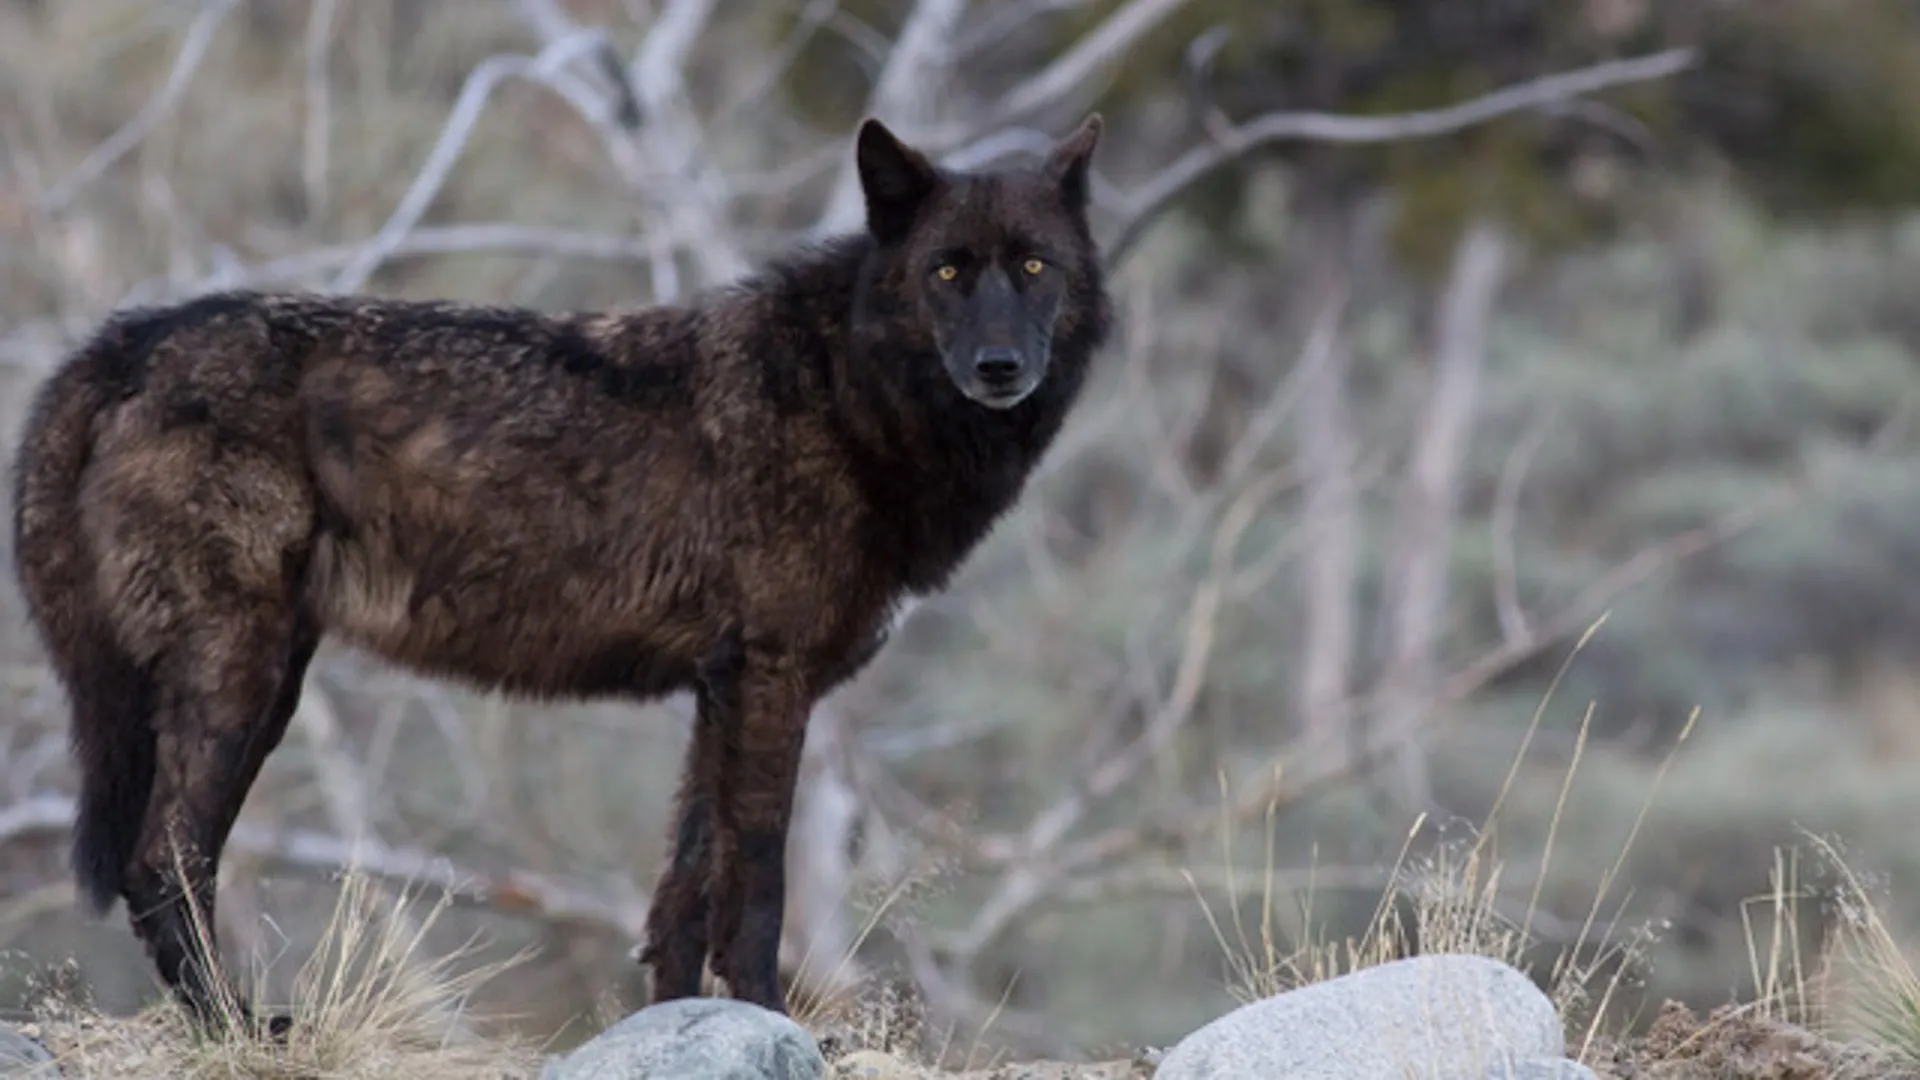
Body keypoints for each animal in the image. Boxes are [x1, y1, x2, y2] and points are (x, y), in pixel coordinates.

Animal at [9, 113, 1110, 1032]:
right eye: (948, 272)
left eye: (1034, 265)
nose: (1002, 368)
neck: (845, 394)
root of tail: (127, 339)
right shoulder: (771, 679)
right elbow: (757, 886)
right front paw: (769, 1017)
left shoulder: (720, 690)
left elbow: (685, 890)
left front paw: (678, 1022)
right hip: (241, 684)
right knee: (165, 859)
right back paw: (239, 1026)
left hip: (264, 689)